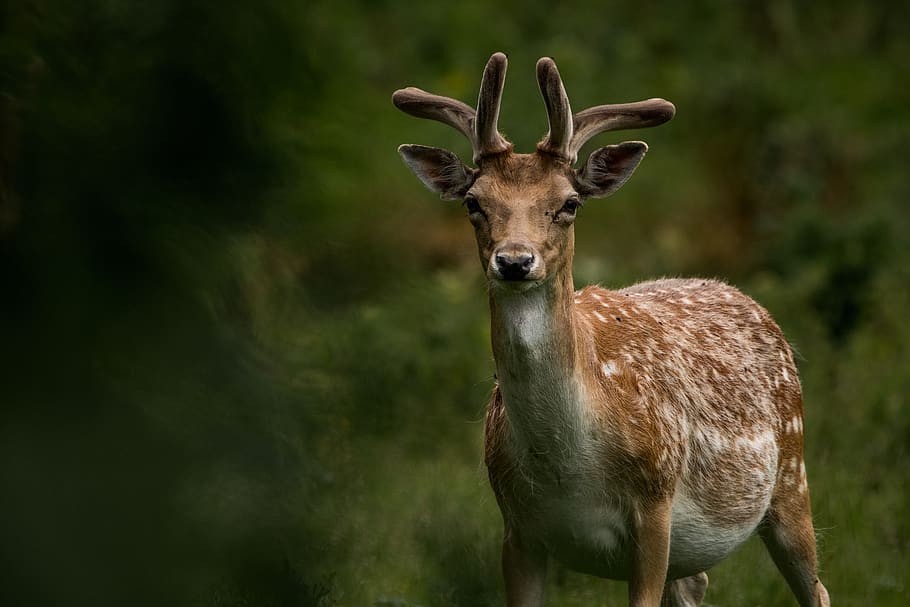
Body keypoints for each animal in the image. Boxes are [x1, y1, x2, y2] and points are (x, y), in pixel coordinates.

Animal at [393, 52, 830, 607]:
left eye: (569, 203)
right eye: (473, 202)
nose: (514, 260)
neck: (566, 468)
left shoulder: (655, 506)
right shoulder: (516, 528)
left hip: (793, 477)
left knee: (817, 588)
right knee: (697, 584)